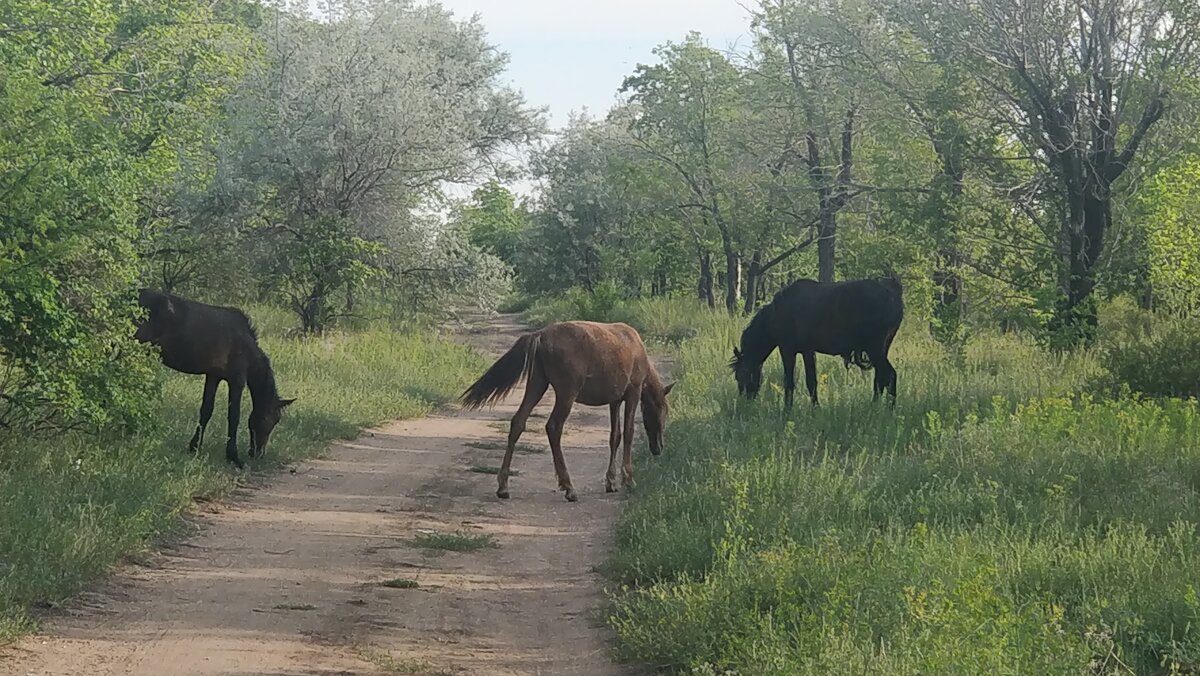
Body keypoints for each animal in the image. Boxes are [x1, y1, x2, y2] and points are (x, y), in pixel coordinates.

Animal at [135, 290, 294, 470]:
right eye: (270, 419)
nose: (259, 453)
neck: (245, 344)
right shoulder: (237, 380)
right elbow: (234, 416)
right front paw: (233, 456)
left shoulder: (213, 376)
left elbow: (206, 411)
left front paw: (194, 447)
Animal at [458, 321, 672, 501]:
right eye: (663, 410)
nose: (659, 448)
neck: (636, 348)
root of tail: (540, 335)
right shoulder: (633, 393)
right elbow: (628, 433)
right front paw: (628, 478)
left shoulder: (615, 401)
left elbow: (615, 437)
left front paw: (611, 481)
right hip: (566, 393)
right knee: (553, 427)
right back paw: (569, 487)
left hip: (537, 384)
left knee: (518, 422)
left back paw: (503, 487)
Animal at [724, 276, 902, 408]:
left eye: (741, 375)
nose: (745, 400)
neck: (776, 314)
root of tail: (893, 295)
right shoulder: (808, 351)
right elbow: (811, 382)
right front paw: (815, 407)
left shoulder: (787, 350)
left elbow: (789, 382)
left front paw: (787, 410)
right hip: (880, 350)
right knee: (880, 379)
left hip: (875, 349)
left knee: (889, 375)